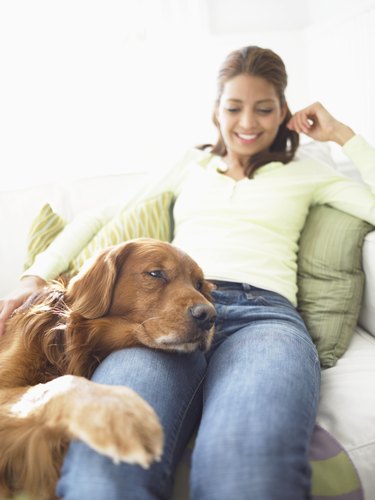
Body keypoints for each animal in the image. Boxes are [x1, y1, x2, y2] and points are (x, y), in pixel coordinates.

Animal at [0, 238, 217, 500]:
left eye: (199, 284)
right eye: (156, 274)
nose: (209, 316)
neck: (69, 342)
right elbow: (60, 384)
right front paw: (123, 414)